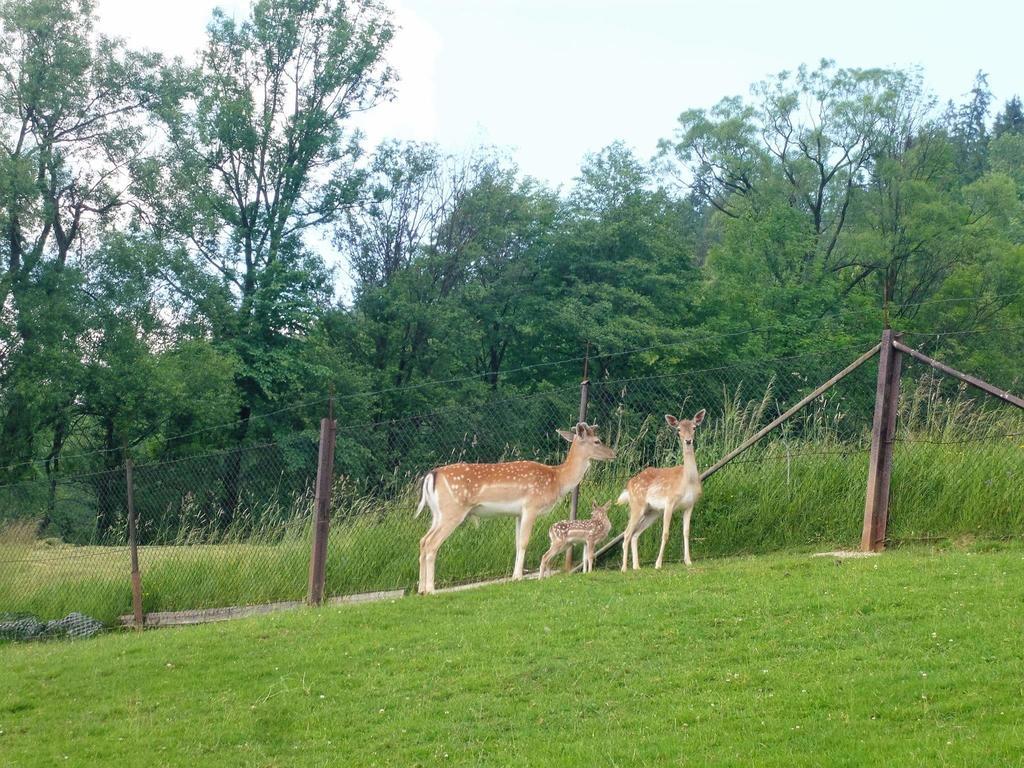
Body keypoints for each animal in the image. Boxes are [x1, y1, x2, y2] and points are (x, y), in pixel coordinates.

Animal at [413, 421, 614, 593]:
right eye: (597, 440)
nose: (613, 453)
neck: (557, 479)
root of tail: (431, 475)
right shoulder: (531, 506)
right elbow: (524, 541)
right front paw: (518, 577)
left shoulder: (518, 513)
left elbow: (517, 543)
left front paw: (513, 576)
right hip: (453, 510)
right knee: (432, 543)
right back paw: (430, 589)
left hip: (437, 513)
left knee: (423, 540)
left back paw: (421, 589)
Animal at [614, 415, 704, 573]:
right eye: (678, 429)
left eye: (694, 427)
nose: (688, 440)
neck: (687, 481)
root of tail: (629, 485)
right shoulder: (669, 502)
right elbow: (665, 534)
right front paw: (658, 564)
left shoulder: (689, 505)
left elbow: (686, 532)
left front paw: (688, 561)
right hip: (637, 506)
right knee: (626, 533)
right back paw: (624, 568)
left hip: (652, 511)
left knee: (635, 534)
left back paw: (637, 567)